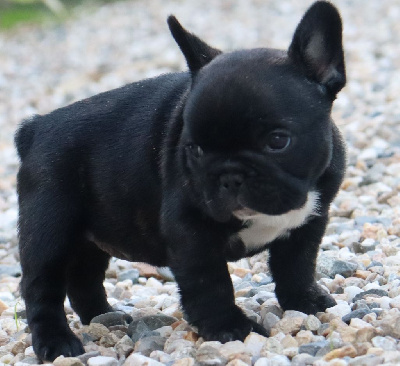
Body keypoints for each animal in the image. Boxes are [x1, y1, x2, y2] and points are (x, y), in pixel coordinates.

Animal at [15, 0, 346, 360]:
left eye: (277, 141)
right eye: (195, 149)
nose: (230, 176)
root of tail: (36, 128)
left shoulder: (307, 225)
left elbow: (297, 266)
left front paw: (304, 302)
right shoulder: (191, 233)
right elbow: (211, 283)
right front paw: (230, 328)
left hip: (90, 236)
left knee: (84, 277)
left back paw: (104, 317)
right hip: (49, 232)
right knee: (41, 288)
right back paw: (58, 343)